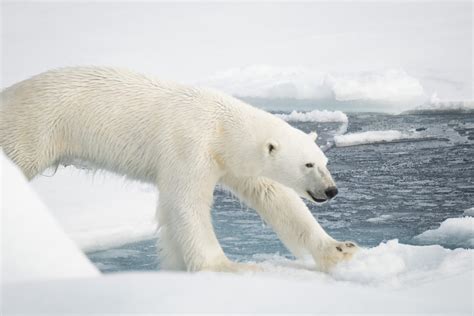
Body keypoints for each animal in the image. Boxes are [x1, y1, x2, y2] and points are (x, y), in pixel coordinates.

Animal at [0, 66, 356, 272]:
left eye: (324, 162)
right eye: (308, 164)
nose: (331, 190)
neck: (221, 127)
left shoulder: (231, 161)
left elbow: (276, 198)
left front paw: (340, 248)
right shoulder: (190, 145)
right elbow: (186, 202)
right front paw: (226, 266)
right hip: (33, 127)